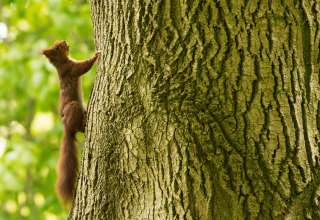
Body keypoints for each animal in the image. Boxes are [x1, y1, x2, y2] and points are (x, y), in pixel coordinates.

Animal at [42, 40, 100, 204]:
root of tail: (66, 127)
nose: (65, 42)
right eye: (58, 46)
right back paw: (85, 122)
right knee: (80, 128)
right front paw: (96, 55)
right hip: (74, 108)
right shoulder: (72, 68)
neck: (61, 64)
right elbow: (84, 66)